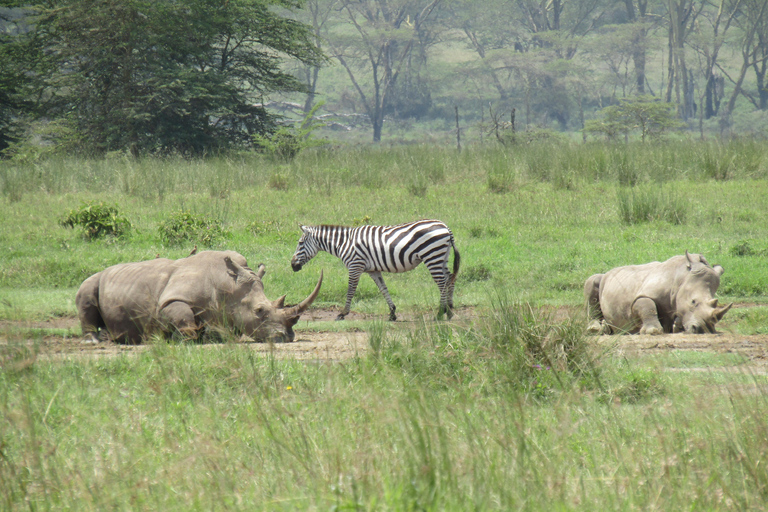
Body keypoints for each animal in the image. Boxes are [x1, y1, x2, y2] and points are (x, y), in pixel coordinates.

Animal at [75, 249, 320, 342]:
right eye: (259, 311)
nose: (286, 337)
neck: (226, 286)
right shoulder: (170, 299)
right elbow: (184, 319)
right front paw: (180, 338)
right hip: (92, 279)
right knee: (86, 291)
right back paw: (95, 340)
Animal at [288, 219, 456, 320]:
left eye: (300, 243)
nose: (292, 265)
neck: (344, 243)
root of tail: (445, 226)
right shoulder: (372, 270)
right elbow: (383, 288)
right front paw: (392, 312)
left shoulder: (355, 265)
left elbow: (350, 289)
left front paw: (343, 313)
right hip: (442, 257)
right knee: (450, 278)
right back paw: (450, 310)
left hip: (432, 255)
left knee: (442, 282)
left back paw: (440, 312)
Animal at [584, 250, 728, 334]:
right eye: (693, 302)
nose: (704, 329)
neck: (681, 278)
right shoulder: (642, 294)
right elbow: (647, 305)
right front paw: (653, 331)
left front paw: (676, 327)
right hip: (602, 279)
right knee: (592, 281)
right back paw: (595, 329)